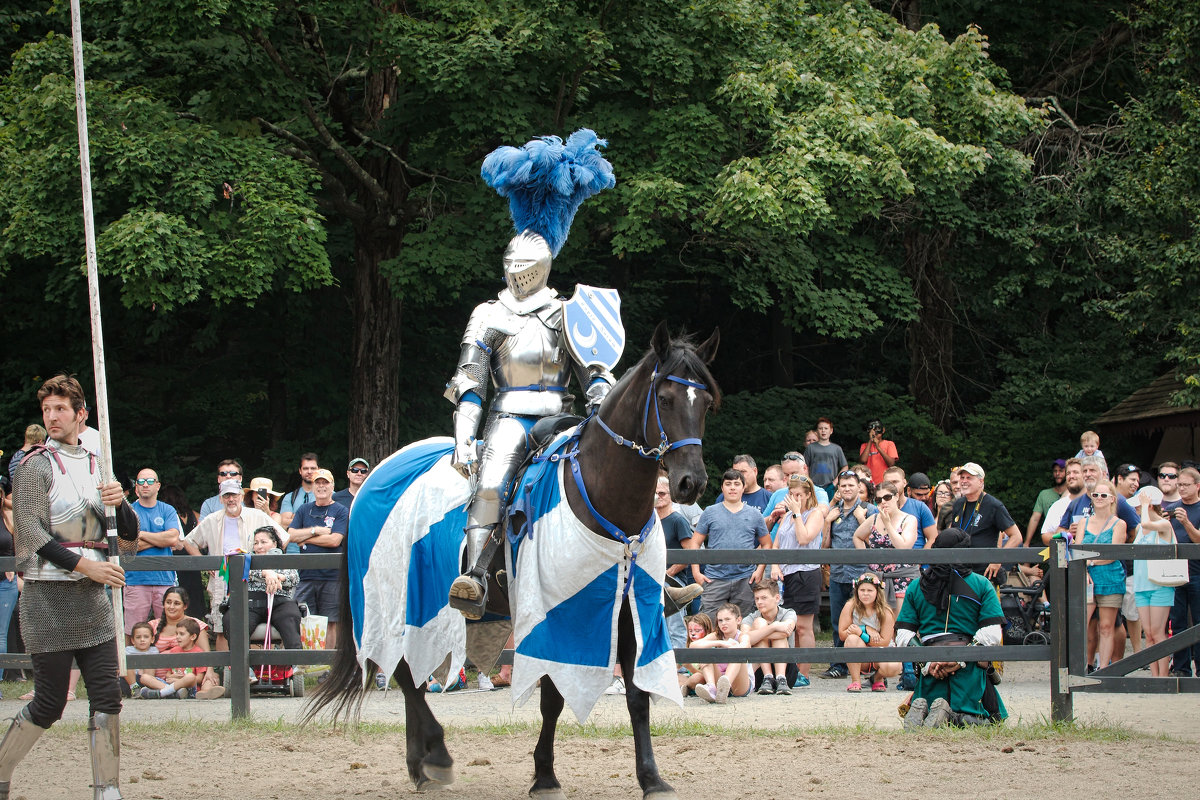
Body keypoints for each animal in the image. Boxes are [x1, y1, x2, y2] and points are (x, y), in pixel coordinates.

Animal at [309, 323, 715, 800]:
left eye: (705, 403)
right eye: (666, 399)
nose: (691, 483)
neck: (601, 493)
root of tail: (374, 476)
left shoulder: (632, 610)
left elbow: (637, 697)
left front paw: (652, 778)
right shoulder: (551, 616)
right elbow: (552, 699)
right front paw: (545, 776)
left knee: (414, 671)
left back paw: (420, 764)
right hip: (391, 600)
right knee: (407, 674)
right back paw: (437, 755)